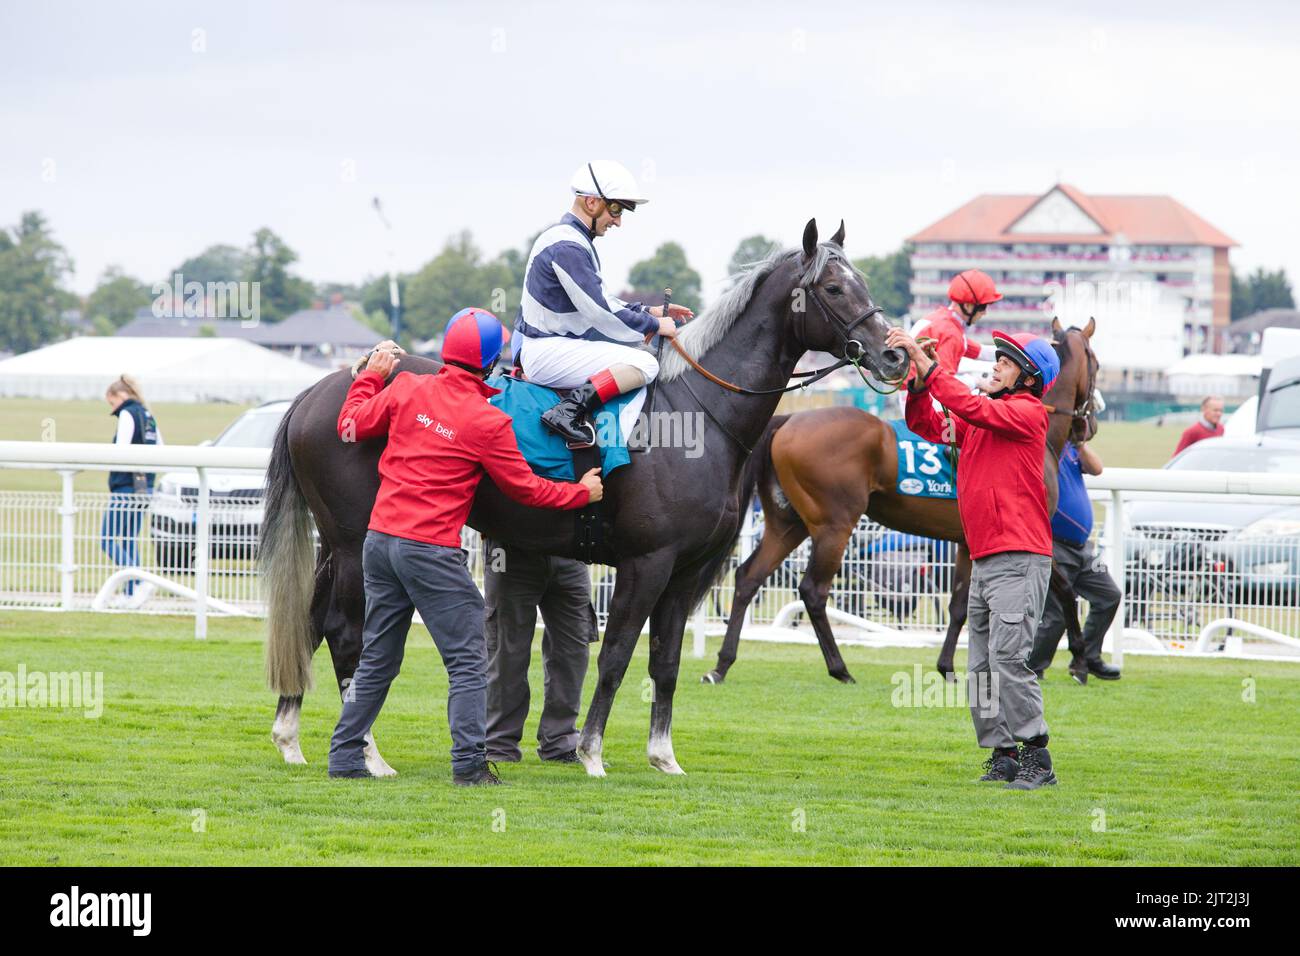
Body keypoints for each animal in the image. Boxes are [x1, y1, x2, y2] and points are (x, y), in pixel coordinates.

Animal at [253, 218, 904, 780]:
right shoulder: (647, 562)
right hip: (355, 544)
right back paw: (366, 752)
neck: (697, 415)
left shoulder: (686, 572)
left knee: (311, 623)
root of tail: (318, 391)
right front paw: (591, 752)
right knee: (346, 633)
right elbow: (615, 654)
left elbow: (665, 662)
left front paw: (664, 757)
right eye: (834, 287)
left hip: (337, 547)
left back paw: (291, 738)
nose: (895, 353)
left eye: (865, 283)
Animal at [702, 317, 1097, 686]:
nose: (1088, 426)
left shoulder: (969, 542)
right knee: (813, 591)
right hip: (833, 525)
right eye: (1094, 364)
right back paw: (840, 668)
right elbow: (1064, 590)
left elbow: (959, 605)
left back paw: (722, 665)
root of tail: (786, 421)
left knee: (748, 577)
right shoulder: (1020, 537)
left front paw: (948, 667)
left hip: (788, 523)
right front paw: (1080, 661)